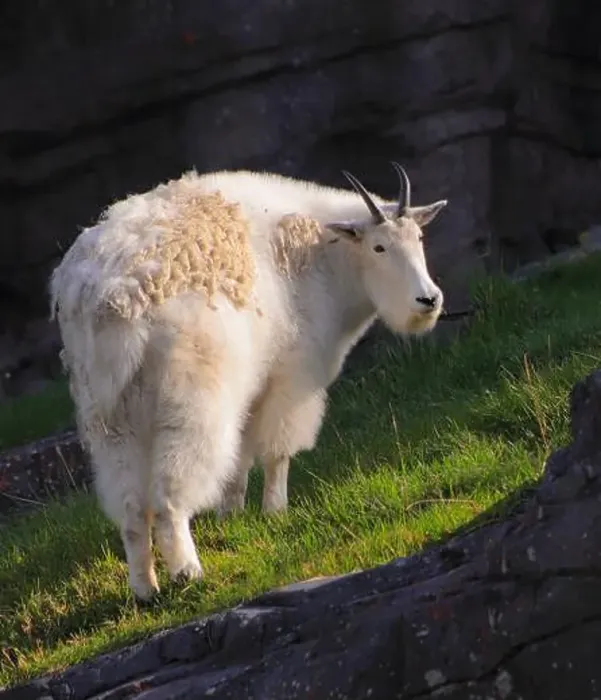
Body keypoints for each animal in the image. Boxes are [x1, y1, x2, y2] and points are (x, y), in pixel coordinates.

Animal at [50, 163, 447, 600]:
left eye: (418, 238)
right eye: (379, 248)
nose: (428, 300)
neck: (316, 254)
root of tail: (113, 301)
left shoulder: (250, 390)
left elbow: (238, 458)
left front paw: (232, 516)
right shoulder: (293, 374)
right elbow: (276, 450)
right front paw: (275, 511)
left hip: (110, 412)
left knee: (130, 503)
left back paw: (145, 589)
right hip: (189, 400)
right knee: (171, 494)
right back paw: (187, 571)